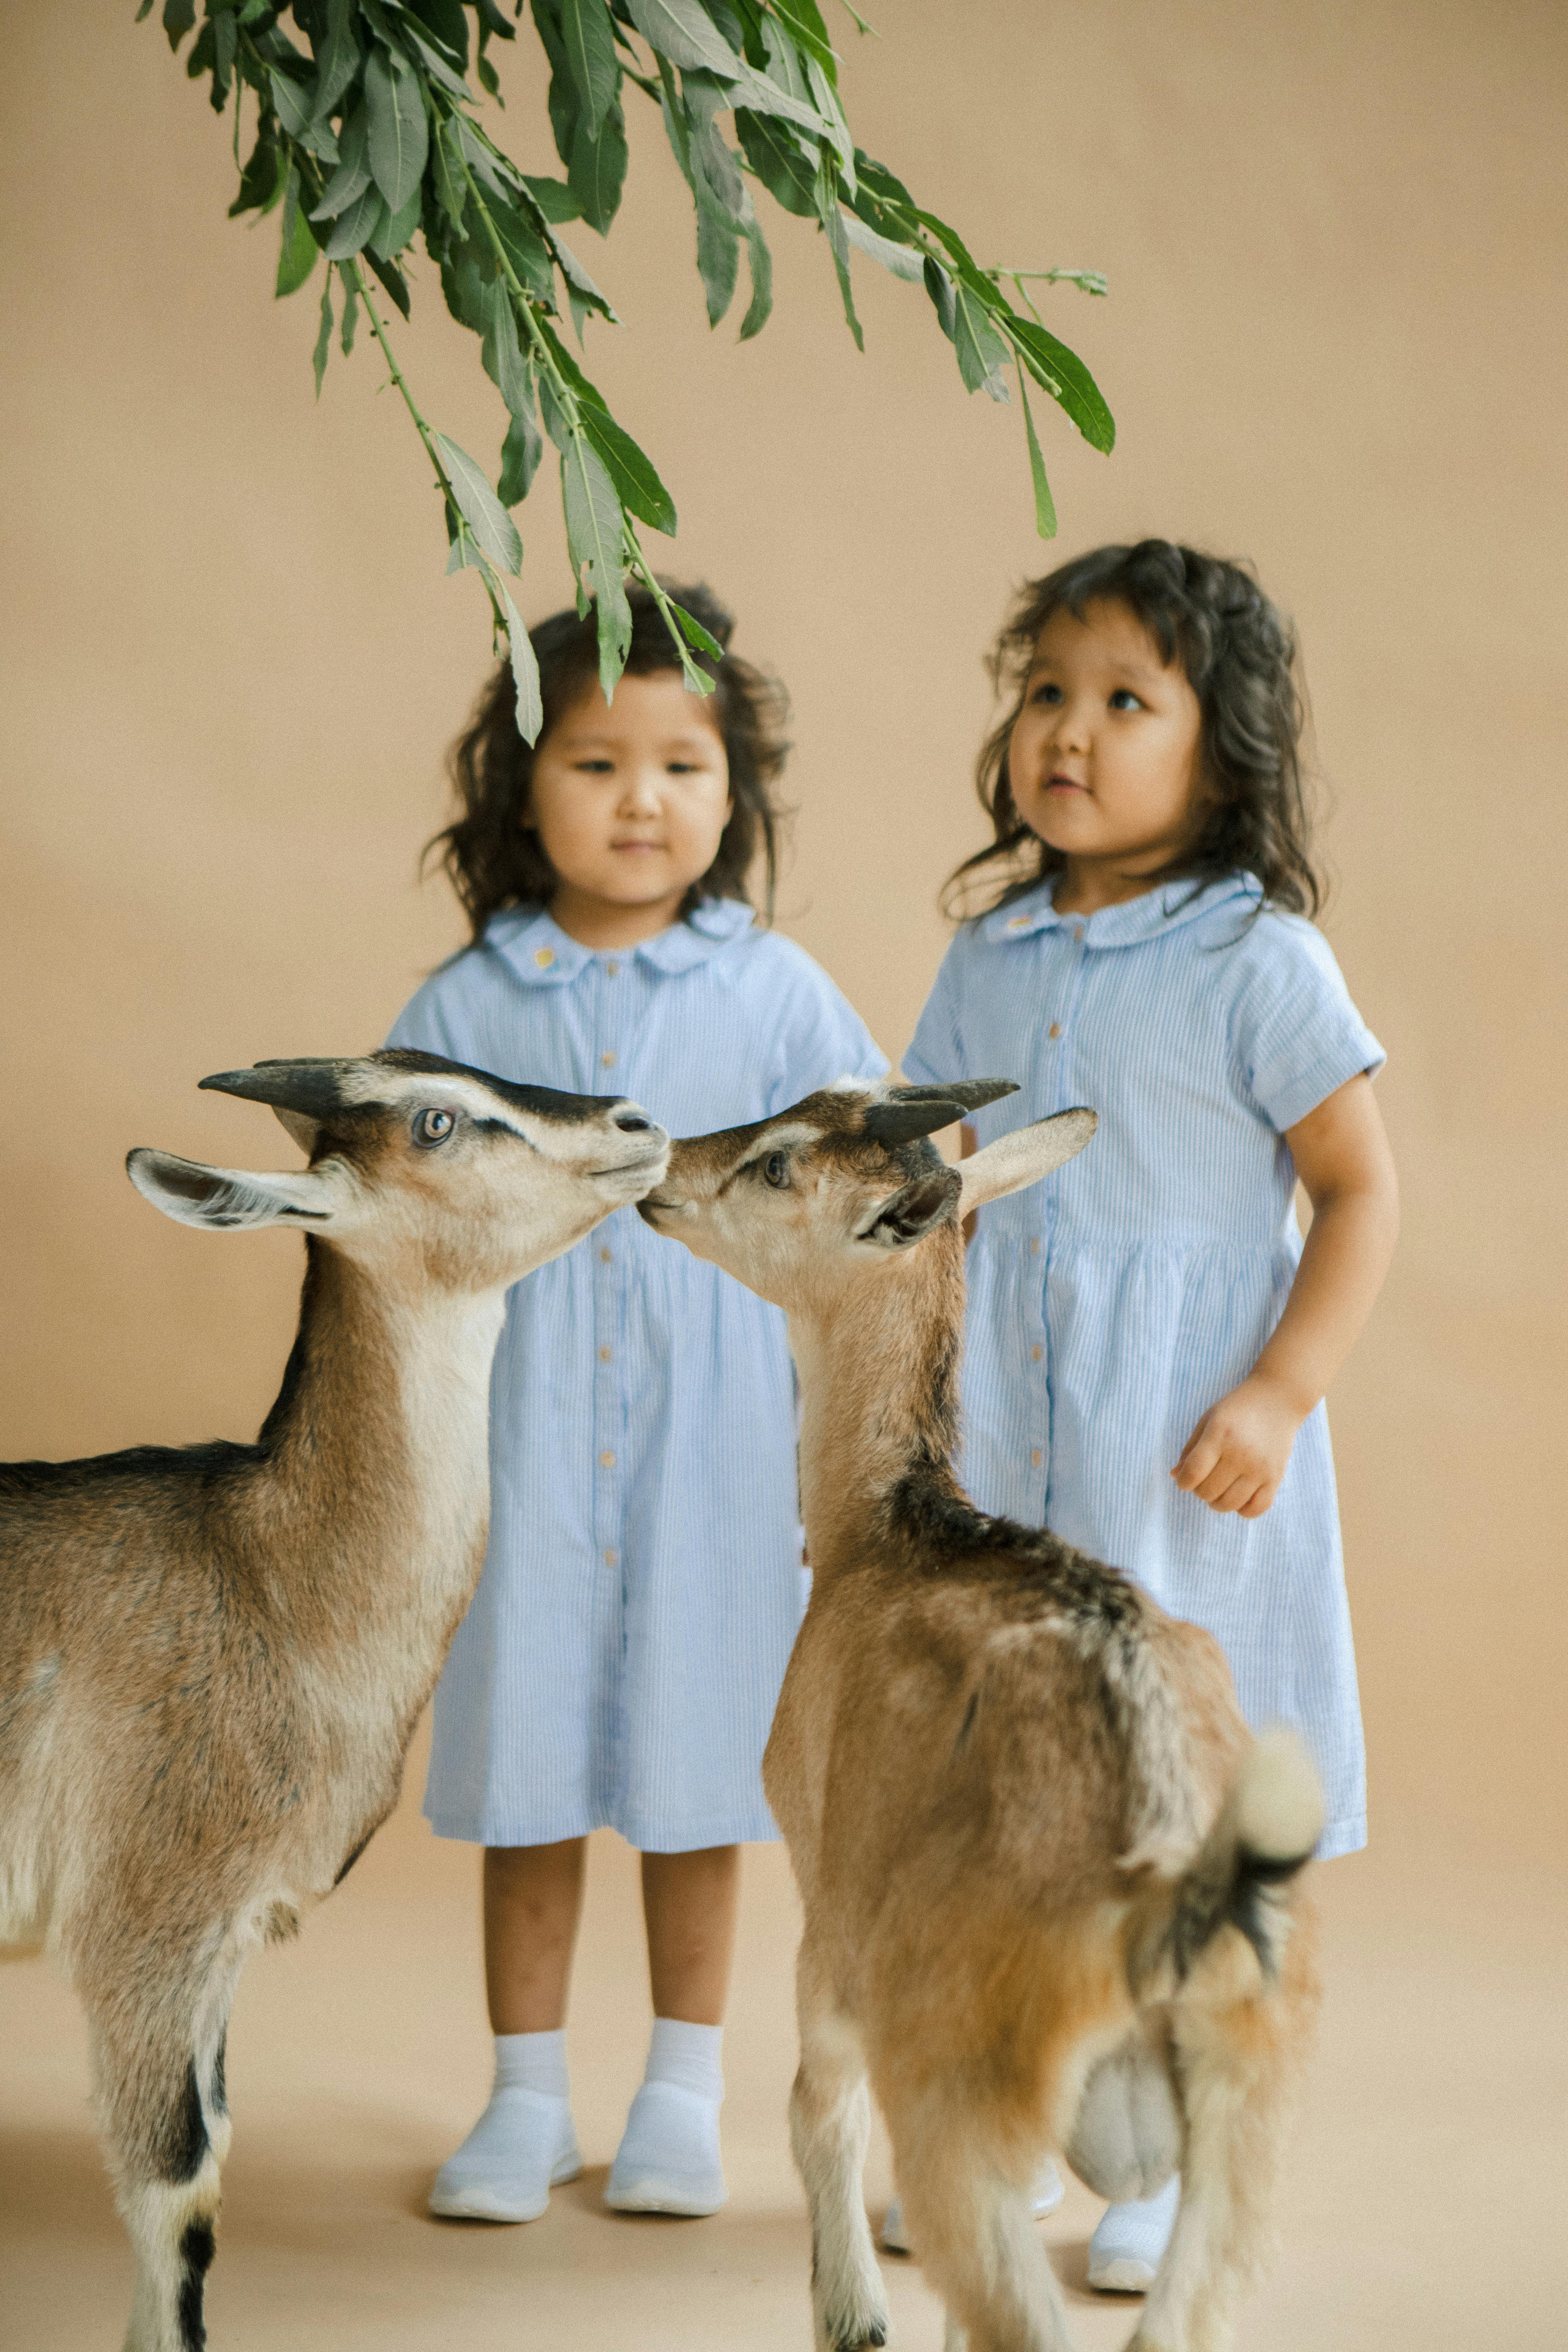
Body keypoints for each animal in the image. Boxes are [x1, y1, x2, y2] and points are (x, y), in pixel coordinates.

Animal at [0, 1054, 667, 2352]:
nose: (634, 1119)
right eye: (438, 1119)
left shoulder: (223, 1946)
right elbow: (178, 2192)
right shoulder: (145, 1926)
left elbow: (212, 2149)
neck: (263, 1571)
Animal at [639, 1082, 1326, 2352]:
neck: (893, 1533)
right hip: (1244, 2144)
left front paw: (854, 2315)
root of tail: (1167, 1891)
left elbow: (819, 2110)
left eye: (777, 1164)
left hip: (965, 2098)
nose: (661, 1171)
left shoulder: (825, 1906)